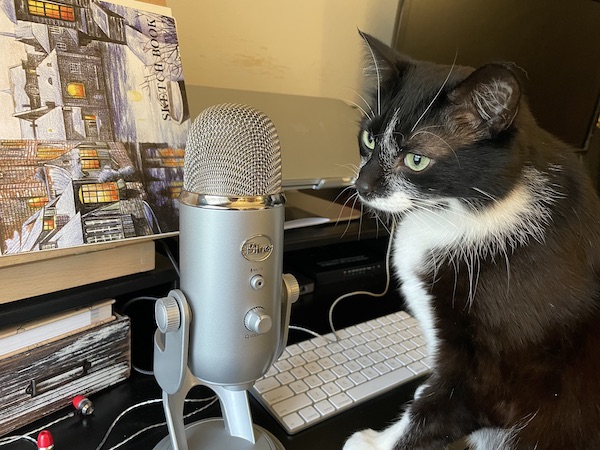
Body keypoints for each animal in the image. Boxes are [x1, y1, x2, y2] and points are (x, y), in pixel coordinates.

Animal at [342, 32, 600, 450]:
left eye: (416, 160)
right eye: (368, 137)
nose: (360, 186)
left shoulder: (492, 373)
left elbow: (438, 409)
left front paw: (373, 443)